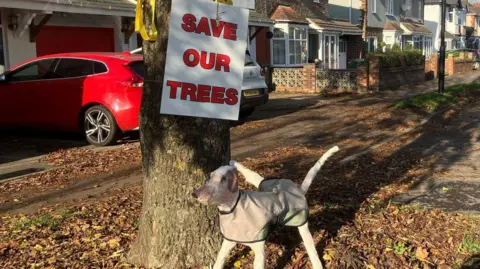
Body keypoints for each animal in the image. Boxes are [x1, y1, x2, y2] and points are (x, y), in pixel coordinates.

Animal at [192, 146, 342, 268]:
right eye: (210, 176)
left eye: (223, 179)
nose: (195, 194)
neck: (234, 207)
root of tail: (298, 191)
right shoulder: (228, 242)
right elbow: (219, 261)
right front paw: (233, 162)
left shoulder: (259, 250)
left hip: (302, 225)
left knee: (312, 250)